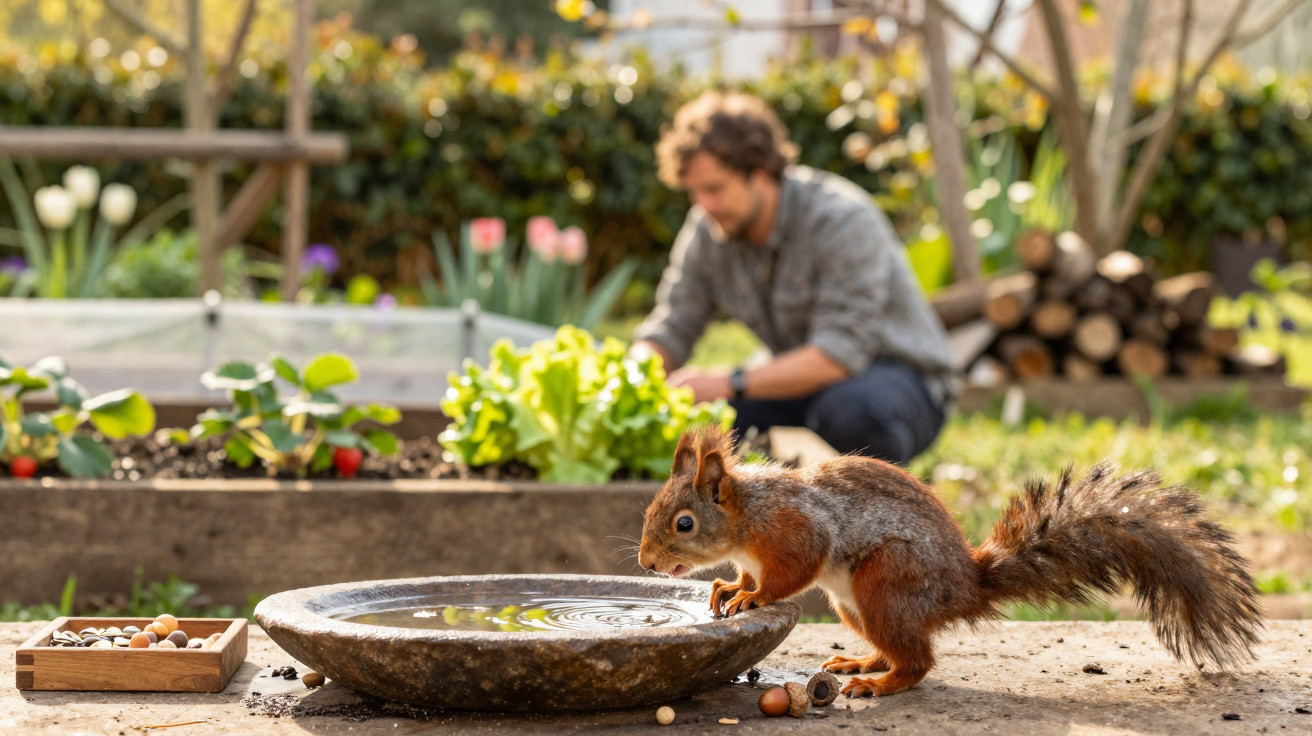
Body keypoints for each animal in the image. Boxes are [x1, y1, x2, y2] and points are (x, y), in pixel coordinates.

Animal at [637, 424, 1263, 698]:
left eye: (684, 523)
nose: (646, 563)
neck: (748, 516)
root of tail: (965, 586)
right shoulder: (754, 551)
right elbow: (745, 572)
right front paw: (727, 588)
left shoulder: (796, 531)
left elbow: (791, 572)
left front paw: (753, 596)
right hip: (856, 605)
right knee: (899, 648)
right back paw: (863, 663)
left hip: (885, 582)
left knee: (919, 663)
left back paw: (880, 685)